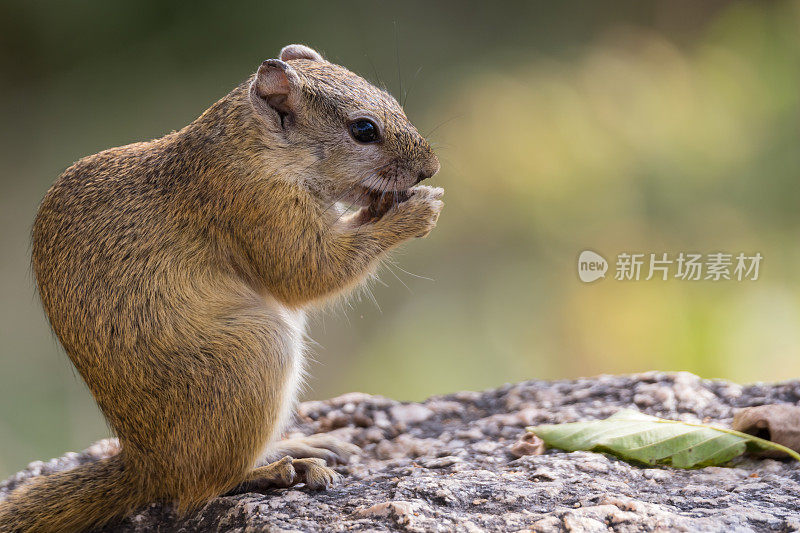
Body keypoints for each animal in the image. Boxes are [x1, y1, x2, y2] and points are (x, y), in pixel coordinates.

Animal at [0, 43, 444, 528]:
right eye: (364, 130)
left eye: (393, 102)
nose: (430, 169)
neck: (253, 148)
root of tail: (147, 467)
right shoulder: (255, 205)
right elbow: (308, 272)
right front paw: (415, 212)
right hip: (254, 353)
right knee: (201, 489)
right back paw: (279, 469)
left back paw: (300, 444)